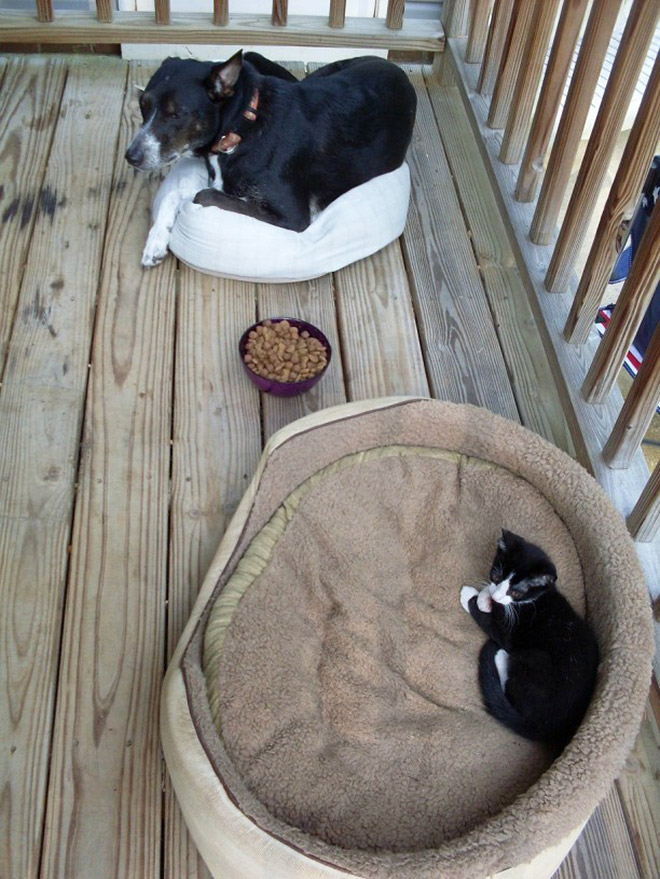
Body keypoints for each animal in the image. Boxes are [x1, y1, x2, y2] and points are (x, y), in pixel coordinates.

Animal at [125, 49, 416, 264]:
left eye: (176, 114)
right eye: (143, 106)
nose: (131, 156)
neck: (240, 127)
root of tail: (392, 65)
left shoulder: (293, 217)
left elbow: (203, 196)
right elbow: (178, 194)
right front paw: (155, 242)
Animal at [458, 532, 600, 744]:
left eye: (516, 592)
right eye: (496, 576)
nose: (497, 596)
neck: (532, 601)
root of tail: (548, 727)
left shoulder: (510, 631)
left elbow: (491, 623)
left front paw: (473, 598)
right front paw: (486, 596)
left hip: (535, 658)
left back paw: (501, 657)